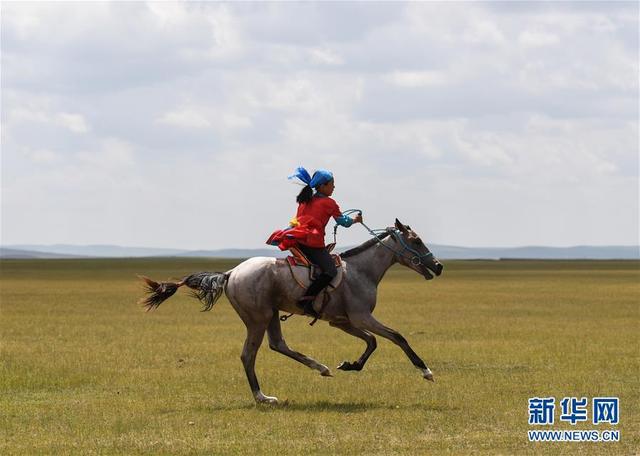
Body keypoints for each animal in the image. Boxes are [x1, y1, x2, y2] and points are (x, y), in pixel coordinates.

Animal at [138, 219, 442, 404]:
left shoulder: (343, 322)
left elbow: (373, 341)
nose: (438, 266)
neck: (361, 271)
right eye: (416, 240)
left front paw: (349, 365)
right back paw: (263, 397)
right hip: (258, 318)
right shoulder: (361, 317)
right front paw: (426, 371)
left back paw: (321, 368)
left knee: (278, 344)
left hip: (271, 314)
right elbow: (396, 337)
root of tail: (231, 273)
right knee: (249, 355)